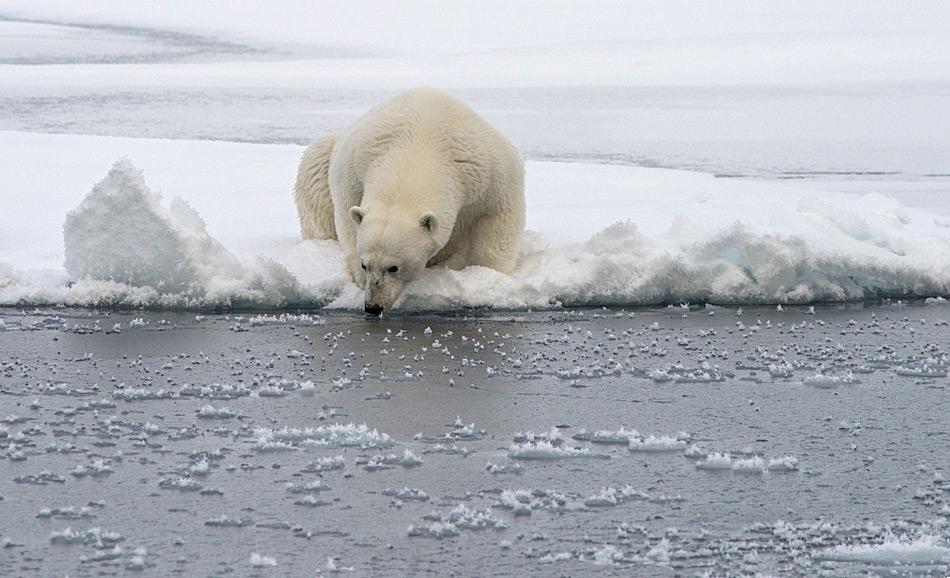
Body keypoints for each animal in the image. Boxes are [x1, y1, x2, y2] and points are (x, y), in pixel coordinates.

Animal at [294, 87, 524, 312]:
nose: (373, 306)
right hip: (326, 155)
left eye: (393, 267)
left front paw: (487, 275)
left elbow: (497, 223)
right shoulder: (353, 165)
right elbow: (347, 215)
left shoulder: (489, 174)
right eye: (365, 265)